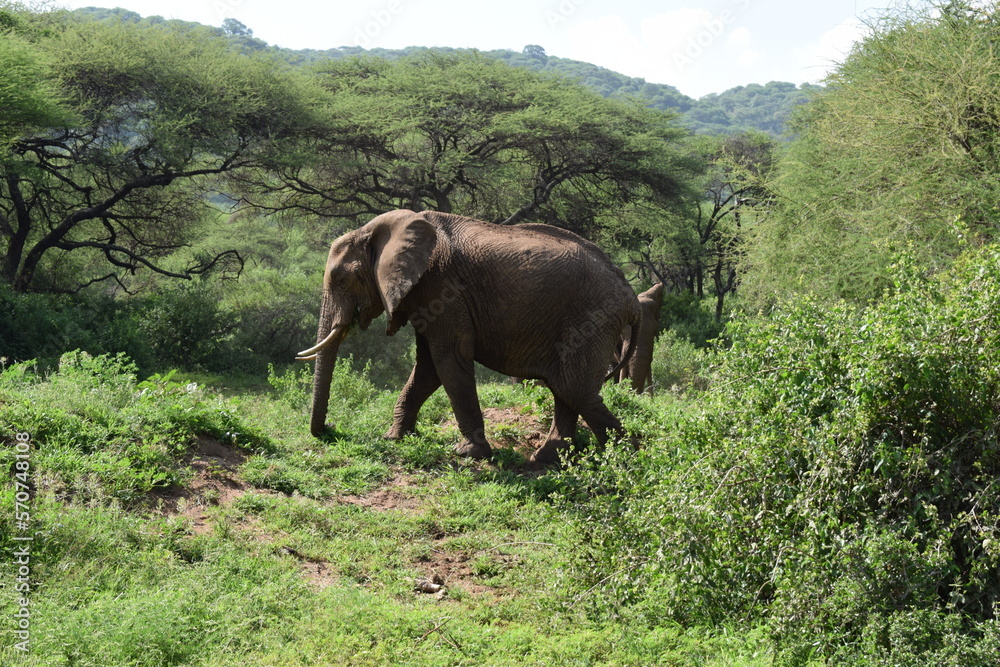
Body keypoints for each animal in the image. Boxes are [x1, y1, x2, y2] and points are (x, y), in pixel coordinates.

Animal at [297, 209, 641, 464]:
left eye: (342, 280)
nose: (330, 429)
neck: (381, 229)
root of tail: (631, 296)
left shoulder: (442, 286)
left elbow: (447, 358)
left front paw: (469, 454)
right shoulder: (426, 294)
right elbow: (428, 367)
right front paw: (394, 437)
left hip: (591, 318)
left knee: (573, 388)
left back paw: (627, 458)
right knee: (565, 389)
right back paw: (546, 461)